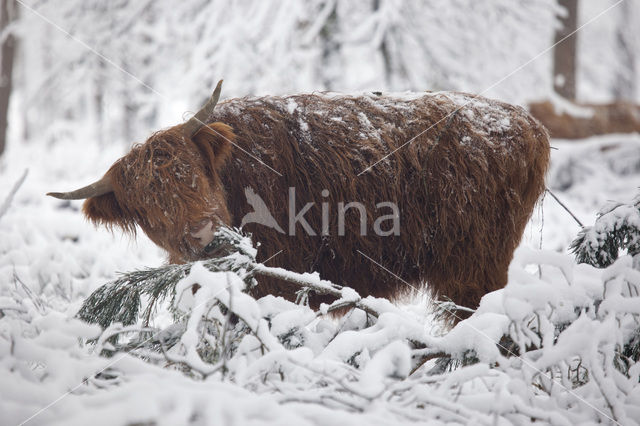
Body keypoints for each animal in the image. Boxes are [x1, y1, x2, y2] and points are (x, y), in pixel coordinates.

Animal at [48, 82, 552, 316]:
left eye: (191, 176)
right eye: (148, 208)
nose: (206, 239)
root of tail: (528, 123)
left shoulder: (278, 279)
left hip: (474, 267)